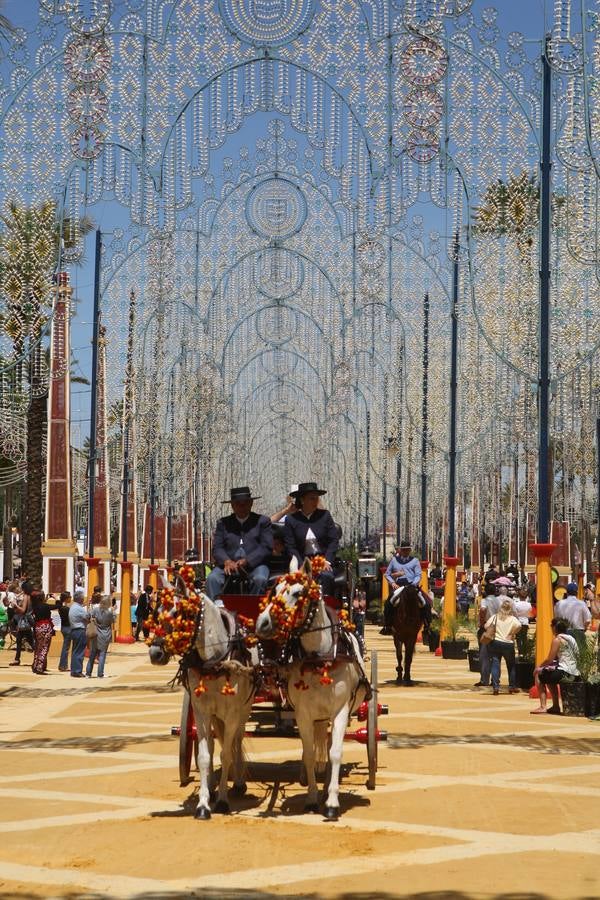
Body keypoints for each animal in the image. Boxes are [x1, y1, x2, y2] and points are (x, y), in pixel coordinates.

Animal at [150, 576, 255, 824]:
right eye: (157, 611)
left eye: (180, 612)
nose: (155, 653)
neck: (214, 660)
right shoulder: (202, 710)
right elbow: (206, 755)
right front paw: (204, 804)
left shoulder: (232, 712)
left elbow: (225, 754)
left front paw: (223, 801)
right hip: (216, 715)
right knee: (217, 741)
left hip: (243, 709)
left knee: (237, 738)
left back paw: (237, 783)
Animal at [253, 560, 366, 820]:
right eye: (274, 591)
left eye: (297, 593)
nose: (262, 623)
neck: (319, 656)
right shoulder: (303, 714)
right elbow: (309, 753)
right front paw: (312, 798)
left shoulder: (340, 711)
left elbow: (335, 752)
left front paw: (332, 802)